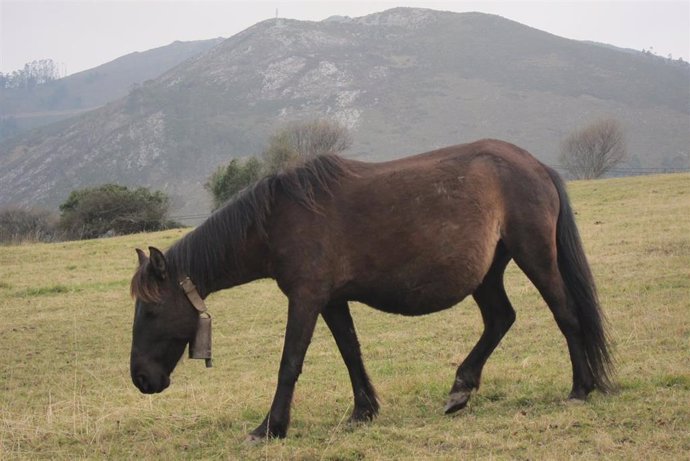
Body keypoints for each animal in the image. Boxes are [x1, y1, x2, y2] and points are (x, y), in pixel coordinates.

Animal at [129, 139, 612, 438]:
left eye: (151, 312)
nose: (141, 379)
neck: (277, 219)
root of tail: (537, 166)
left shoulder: (306, 299)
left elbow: (290, 363)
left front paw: (270, 428)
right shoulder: (332, 301)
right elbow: (351, 353)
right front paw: (363, 411)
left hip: (536, 257)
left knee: (566, 316)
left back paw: (580, 388)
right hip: (489, 273)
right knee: (500, 319)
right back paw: (461, 388)